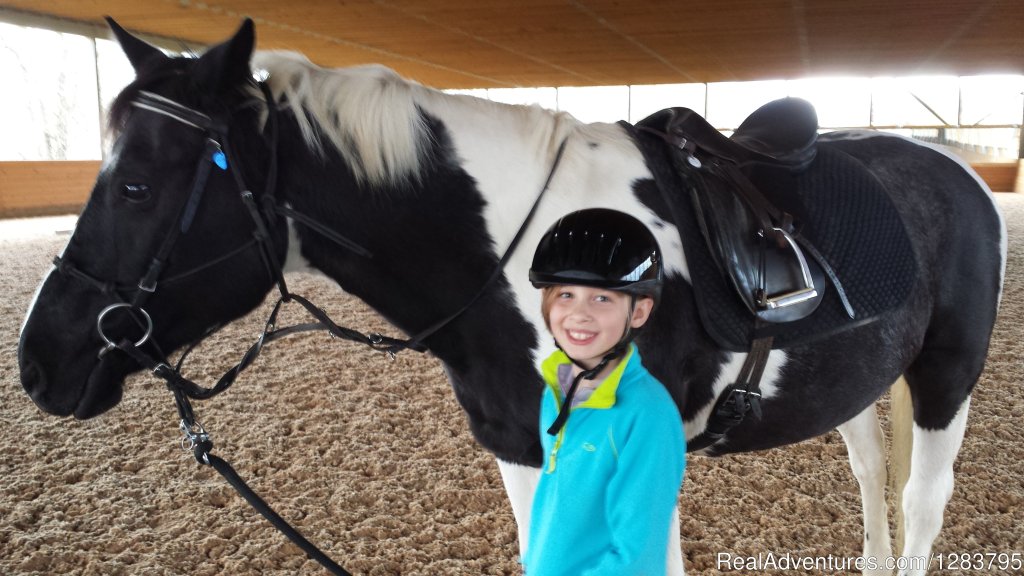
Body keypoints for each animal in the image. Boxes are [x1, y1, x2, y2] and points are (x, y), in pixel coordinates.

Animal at [19, 17, 1003, 573]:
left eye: (136, 186)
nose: (39, 364)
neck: (528, 254)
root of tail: (952, 167)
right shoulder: (523, 453)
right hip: (854, 382)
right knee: (871, 479)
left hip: (946, 379)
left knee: (923, 503)